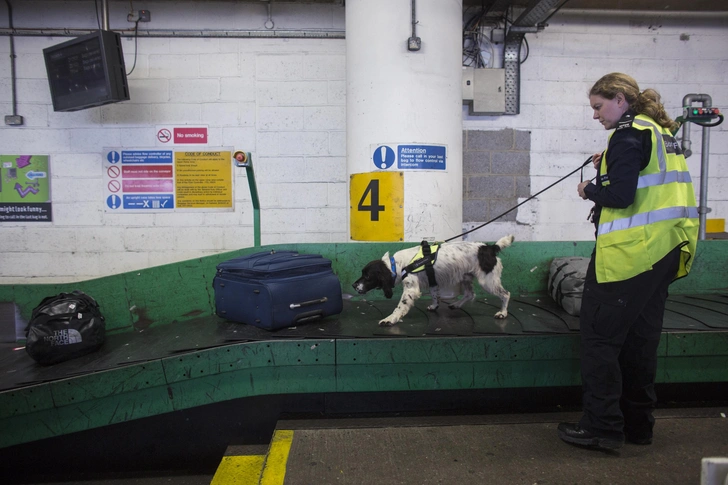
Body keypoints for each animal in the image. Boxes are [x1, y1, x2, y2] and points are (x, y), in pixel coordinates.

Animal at [352, 234, 512, 326]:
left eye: (367, 276)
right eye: (362, 273)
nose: (354, 285)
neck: (397, 264)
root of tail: (490, 248)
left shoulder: (411, 289)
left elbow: (400, 307)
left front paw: (391, 319)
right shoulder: (432, 281)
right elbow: (435, 296)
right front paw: (434, 306)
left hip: (487, 281)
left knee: (505, 294)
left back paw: (503, 313)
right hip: (465, 277)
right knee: (469, 294)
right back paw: (456, 304)